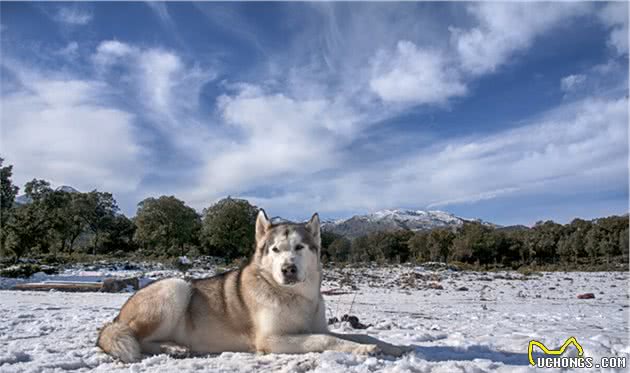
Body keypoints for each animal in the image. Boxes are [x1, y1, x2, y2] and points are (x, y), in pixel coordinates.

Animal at [95, 211, 410, 362]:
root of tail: (117, 317)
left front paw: (391, 346)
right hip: (176, 287)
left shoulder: (318, 326)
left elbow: (361, 335)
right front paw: (364, 351)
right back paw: (173, 348)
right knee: (137, 339)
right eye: (275, 250)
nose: (288, 269)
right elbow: (326, 341)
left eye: (299, 247)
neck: (293, 296)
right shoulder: (271, 340)